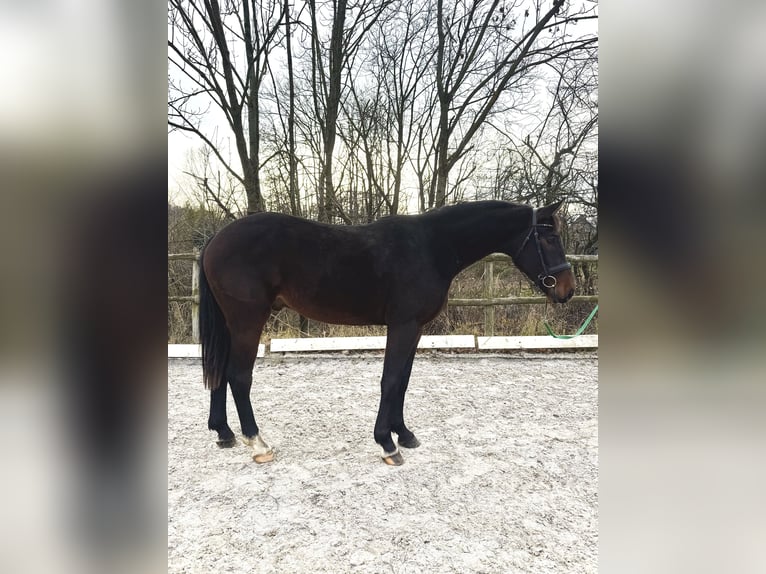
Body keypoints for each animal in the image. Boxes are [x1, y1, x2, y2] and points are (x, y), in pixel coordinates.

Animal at [198, 200, 575, 465]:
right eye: (549, 236)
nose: (567, 290)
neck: (432, 246)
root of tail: (216, 238)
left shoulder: (416, 329)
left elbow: (403, 382)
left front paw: (404, 433)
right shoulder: (403, 325)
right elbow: (390, 380)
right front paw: (387, 443)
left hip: (232, 323)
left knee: (220, 372)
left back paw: (224, 433)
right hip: (248, 320)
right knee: (238, 376)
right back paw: (257, 443)